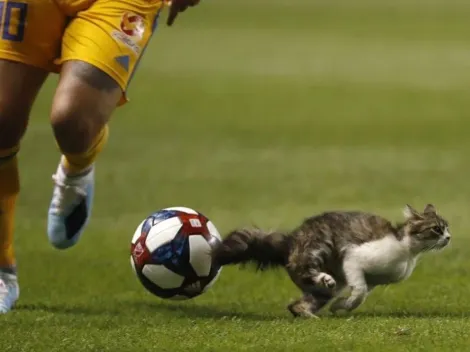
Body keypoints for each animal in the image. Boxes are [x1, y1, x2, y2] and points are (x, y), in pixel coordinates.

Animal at [211, 204, 450, 316]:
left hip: (325, 288)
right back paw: (323, 278)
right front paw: (344, 305)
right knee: (303, 269)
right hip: (319, 246)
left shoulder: (374, 280)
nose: (449, 237)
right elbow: (359, 291)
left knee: (295, 305)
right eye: (437, 229)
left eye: (447, 228)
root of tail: (290, 240)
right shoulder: (353, 258)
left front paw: (340, 306)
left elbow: (361, 294)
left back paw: (310, 315)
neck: (407, 251)